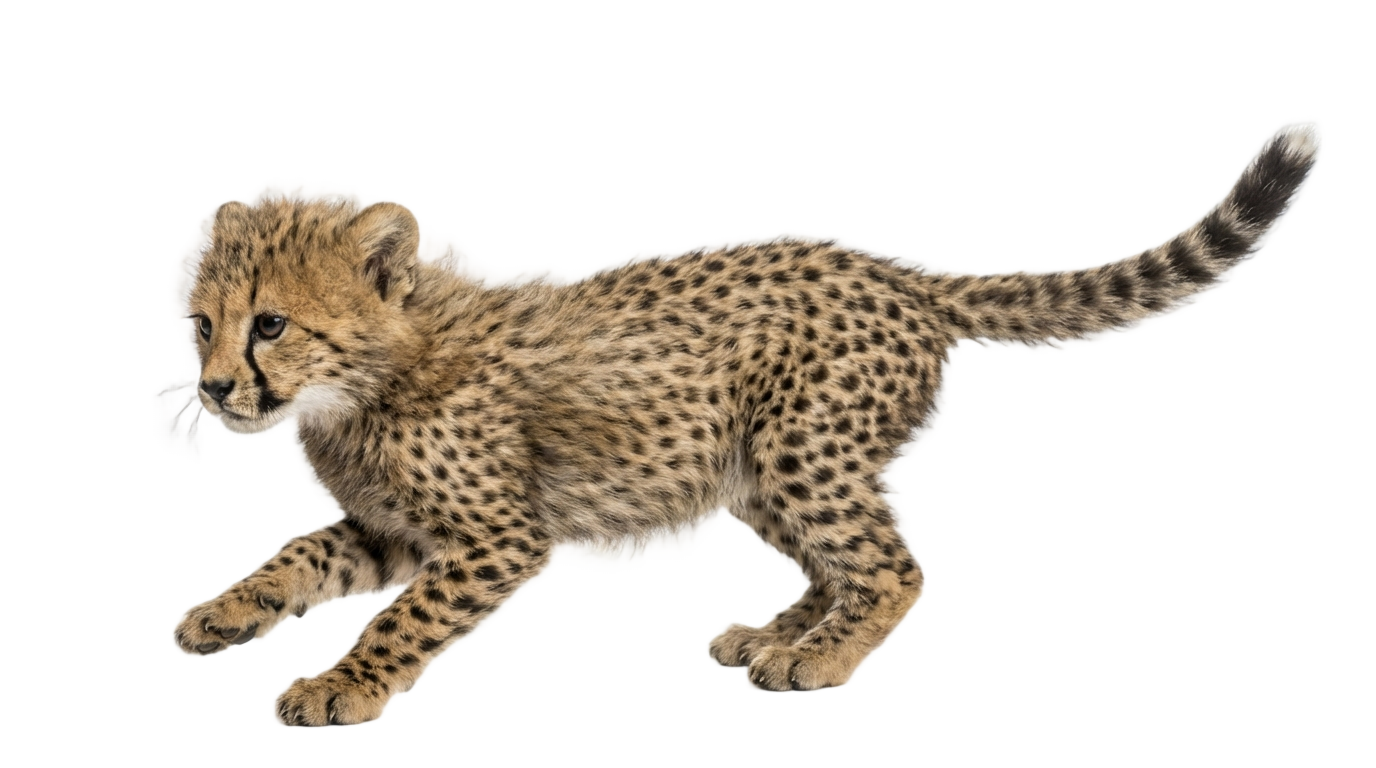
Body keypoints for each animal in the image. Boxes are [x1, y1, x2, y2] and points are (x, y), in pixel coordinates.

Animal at [173, 126, 1316, 725]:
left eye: (269, 323)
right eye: (202, 324)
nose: (216, 389)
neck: (366, 380)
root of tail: (892, 272)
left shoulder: (496, 534)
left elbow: (403, 620)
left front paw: (340, 683)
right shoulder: (394, 526)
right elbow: (298, 556)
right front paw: (225, 614)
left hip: (801, 446)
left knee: (888, 567)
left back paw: (821, 658)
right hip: (763, 460)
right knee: (836, 561)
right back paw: (781, 633)